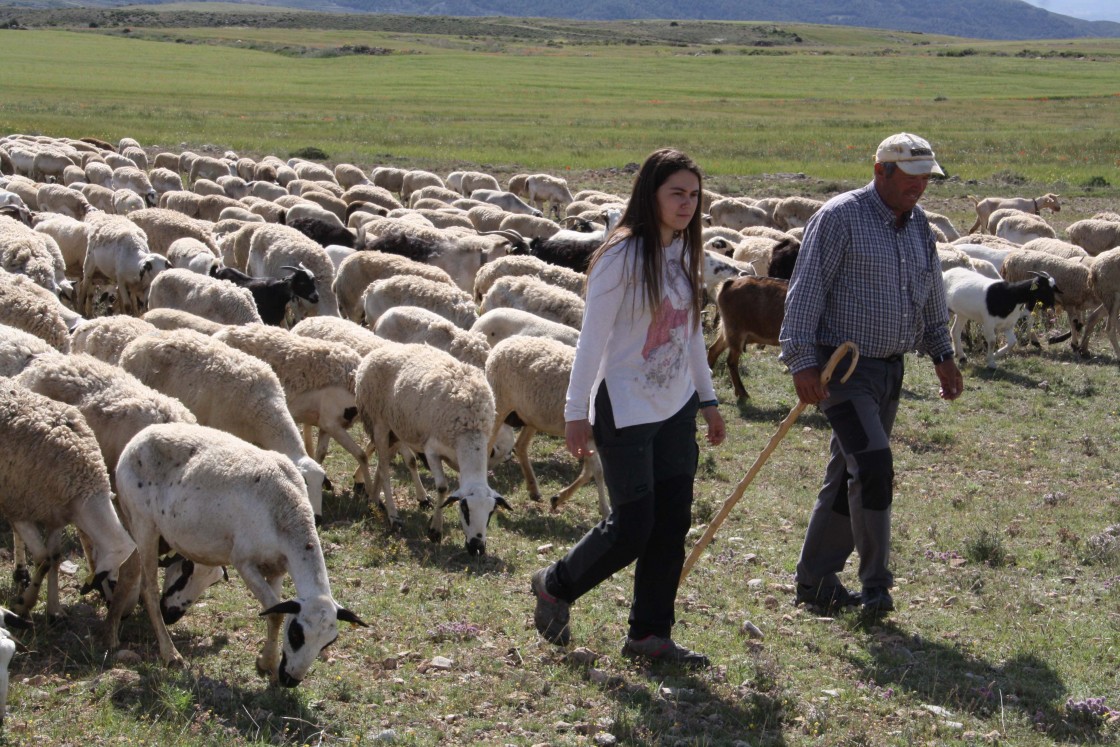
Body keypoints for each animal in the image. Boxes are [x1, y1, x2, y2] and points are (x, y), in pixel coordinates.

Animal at [115, 421, 367, 685]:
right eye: (297, 634)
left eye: (328, 642)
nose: (291, 681)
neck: (286, 512)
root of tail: (140, 436)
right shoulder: (244, 562)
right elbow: (274, 612)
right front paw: (268, 663)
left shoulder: (277, 568)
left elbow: (276, 609)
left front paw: (267, 663)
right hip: (143, 523)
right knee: (149, 589)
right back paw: (170, 653)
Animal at [356, 342, 510, 553]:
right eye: (465, 509)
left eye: (491, 512)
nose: (477, 548)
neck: (471, 430)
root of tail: (374, 353)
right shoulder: (432, 451)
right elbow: (442, 487)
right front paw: (435, 530)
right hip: (379, 423)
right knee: (386, 470)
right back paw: (394, 517)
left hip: (397, 429)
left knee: (383, 462)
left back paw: (373, 499)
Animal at [481, 335, 604, 517]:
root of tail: (507, 341)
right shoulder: (586, 433)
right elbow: (597, 471)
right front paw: (606, 510)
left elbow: (589, 471)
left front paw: (558, 498)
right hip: (500, 403)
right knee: (488, 445)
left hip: (531, 415)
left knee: (520, 446)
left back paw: (533, 490)